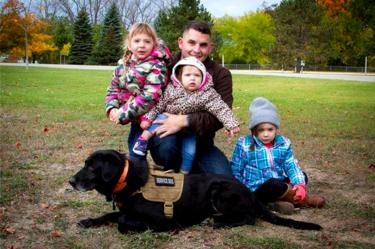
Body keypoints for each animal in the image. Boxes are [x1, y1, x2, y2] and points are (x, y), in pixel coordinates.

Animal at [69, 149, 322, 232]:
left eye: (91, 167)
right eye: (85, 163)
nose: (70, 181)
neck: (129, 180)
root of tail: (249, 192)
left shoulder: (159, 219)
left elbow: (123, 221)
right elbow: (111, 214)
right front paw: (89, 220)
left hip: (220, 191)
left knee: (249, 217)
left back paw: (216, 221)